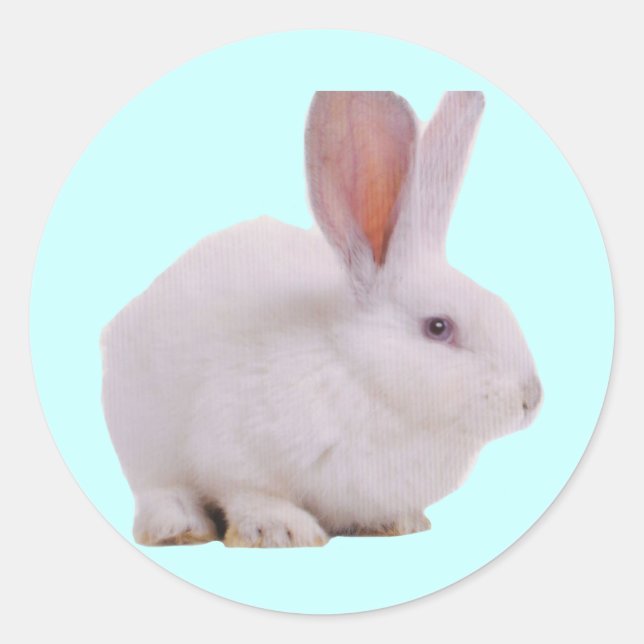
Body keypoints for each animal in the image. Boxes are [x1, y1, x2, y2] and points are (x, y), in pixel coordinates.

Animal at [101, 90, 542, 548]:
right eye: (438, 327)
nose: (532, 398)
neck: (361, 375)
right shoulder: (231, 449)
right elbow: (250, 493)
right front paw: (281, 529)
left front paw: (396, 523)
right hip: (140, 435)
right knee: (158, 489)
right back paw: (179, 526)